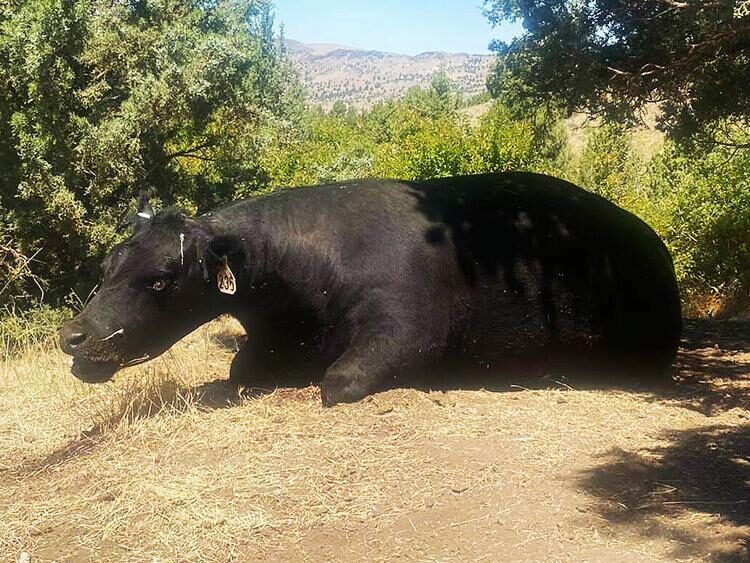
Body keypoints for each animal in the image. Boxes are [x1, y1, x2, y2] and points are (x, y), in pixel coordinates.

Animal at [59, 172, 682, 405]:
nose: (72, 335)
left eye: (160, 279)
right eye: (106, 266)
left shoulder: (404, 331)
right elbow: (239, 370)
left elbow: (339, 381)